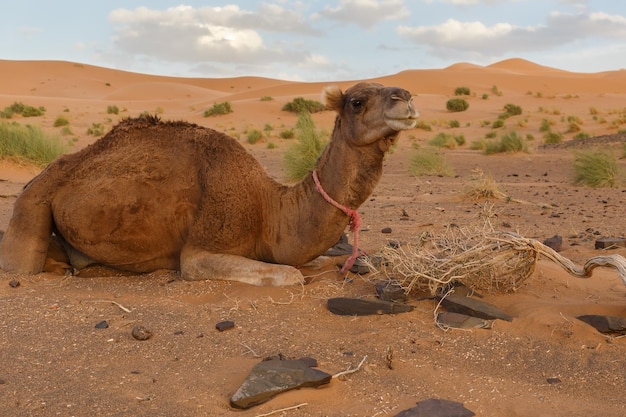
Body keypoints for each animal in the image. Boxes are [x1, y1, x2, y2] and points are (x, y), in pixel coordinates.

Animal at [1, 83, 420, 288]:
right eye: (357, 101)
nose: (406, 99)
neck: (268, 207)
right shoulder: (202, 248)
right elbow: (292, 273)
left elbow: (310, 261)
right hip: (32, 199)